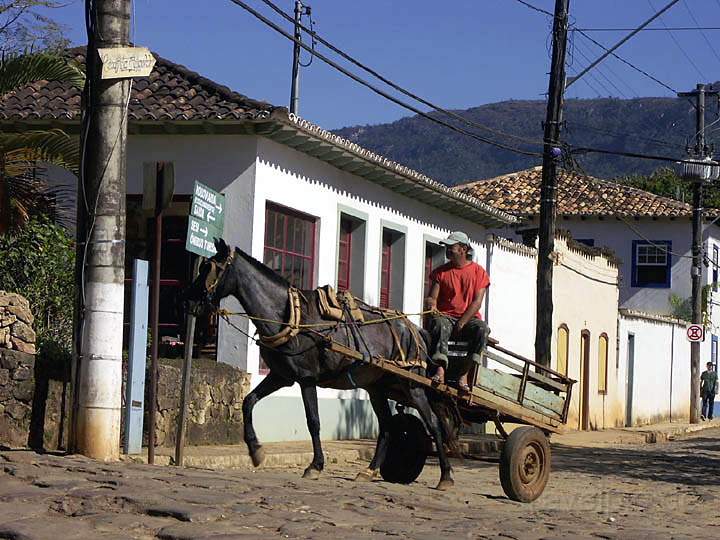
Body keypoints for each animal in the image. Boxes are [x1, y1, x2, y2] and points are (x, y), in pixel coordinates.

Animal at [183, 238, 458, 492]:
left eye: (209, 268)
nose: (187, 302)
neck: (291, 316)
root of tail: (415, 329)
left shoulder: (306, 379)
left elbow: (313, 421)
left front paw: (315, 466)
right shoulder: (281, 376)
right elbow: (248, 402)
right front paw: (256, 451)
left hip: (412, 386)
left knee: (434, 424)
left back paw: (445, 476)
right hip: (377, 387)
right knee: (388, 427)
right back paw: (369, 471)